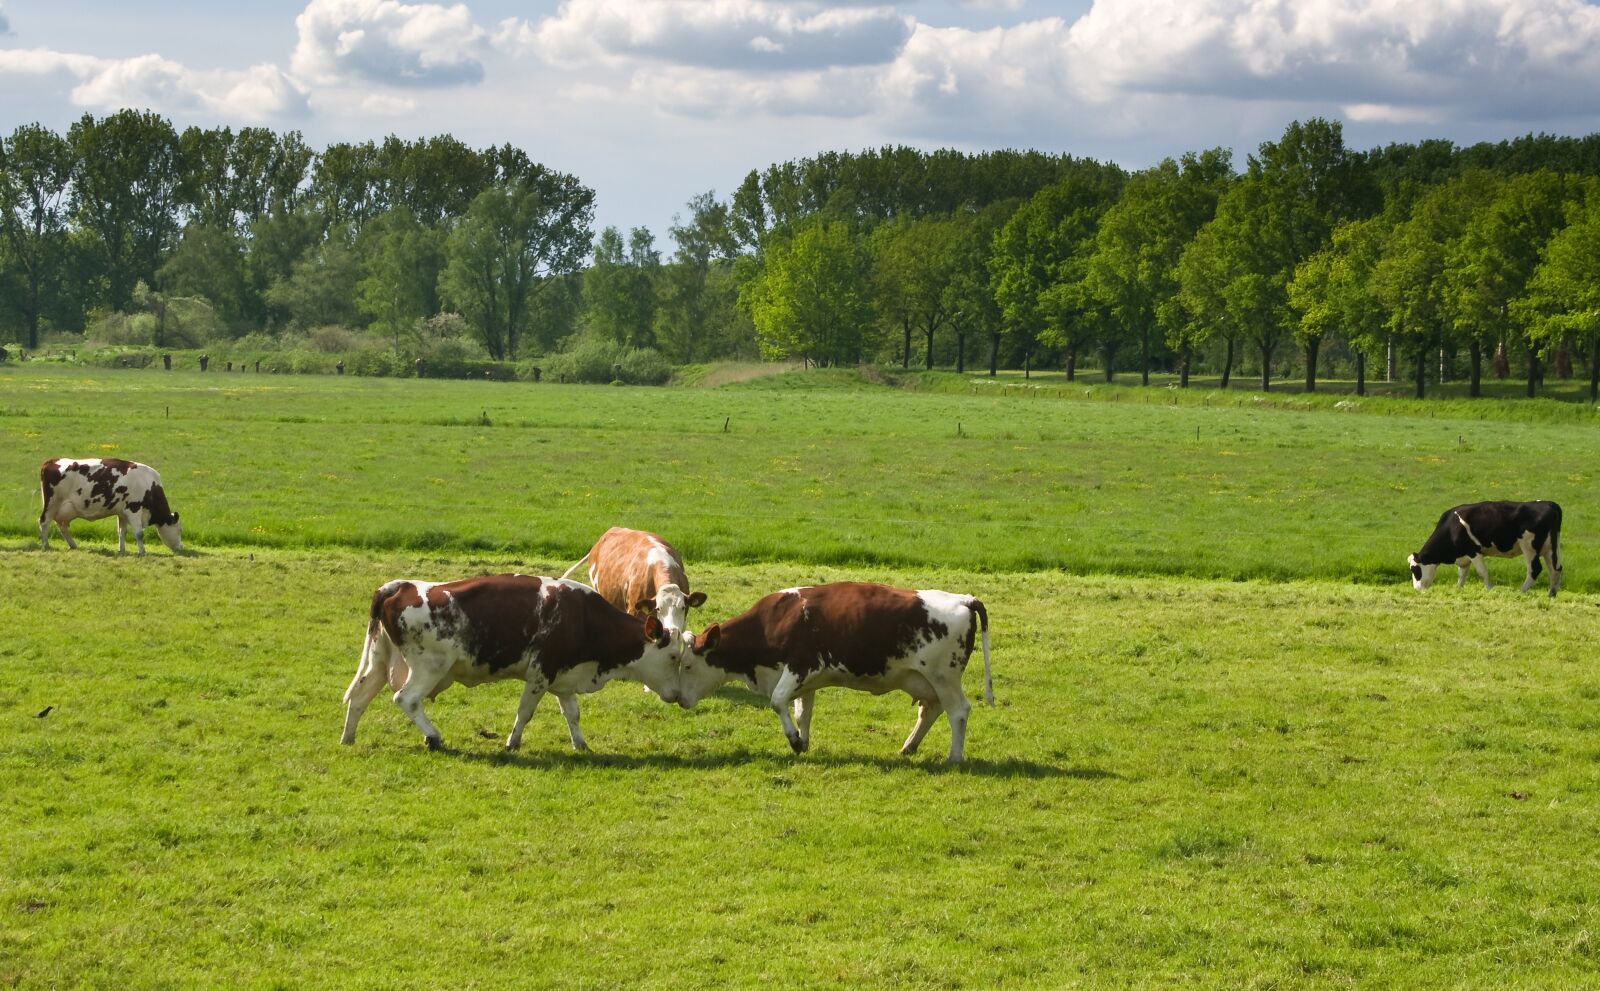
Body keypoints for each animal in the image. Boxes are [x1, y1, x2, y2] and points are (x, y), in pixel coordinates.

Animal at [38, 457, 183, 557]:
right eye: (180, 530)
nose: (181, 547)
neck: (148, 484)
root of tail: (51, 461)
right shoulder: (134, 509)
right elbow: (139, 533)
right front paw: (142, 552)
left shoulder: (122, 513)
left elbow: (122, 532)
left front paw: (122, 550)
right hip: (52, 503)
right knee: (44, 522)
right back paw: (46, 546)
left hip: (64, 509)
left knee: (62, 526)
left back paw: (73, 545)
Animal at [340, 573, 684, 752]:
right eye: (672, 656)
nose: (677, 696)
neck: (583, 617)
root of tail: (401, 586)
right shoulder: (540, 675)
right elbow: (525, 712)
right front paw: (512, 742)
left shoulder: (564, 677)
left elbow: (572, 714)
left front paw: (581, 744)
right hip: (429, 668)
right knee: (406, 699)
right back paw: (433, 736)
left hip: (379, 661)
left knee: (359, 697)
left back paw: (348, 738)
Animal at [1414, 499, 1561, 601]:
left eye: (1414, 570)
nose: (1416, 590)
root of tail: (1549, 504)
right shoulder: (1464, 556)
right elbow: (1462, 574)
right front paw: (1458, 589)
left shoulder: (1473, 550)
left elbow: (1482, 572)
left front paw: (1490, 590)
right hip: (1551, 547)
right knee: (1555, 569)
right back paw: (1551, 595)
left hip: (1529, 546)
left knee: (1535, 569)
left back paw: (1521, 592)